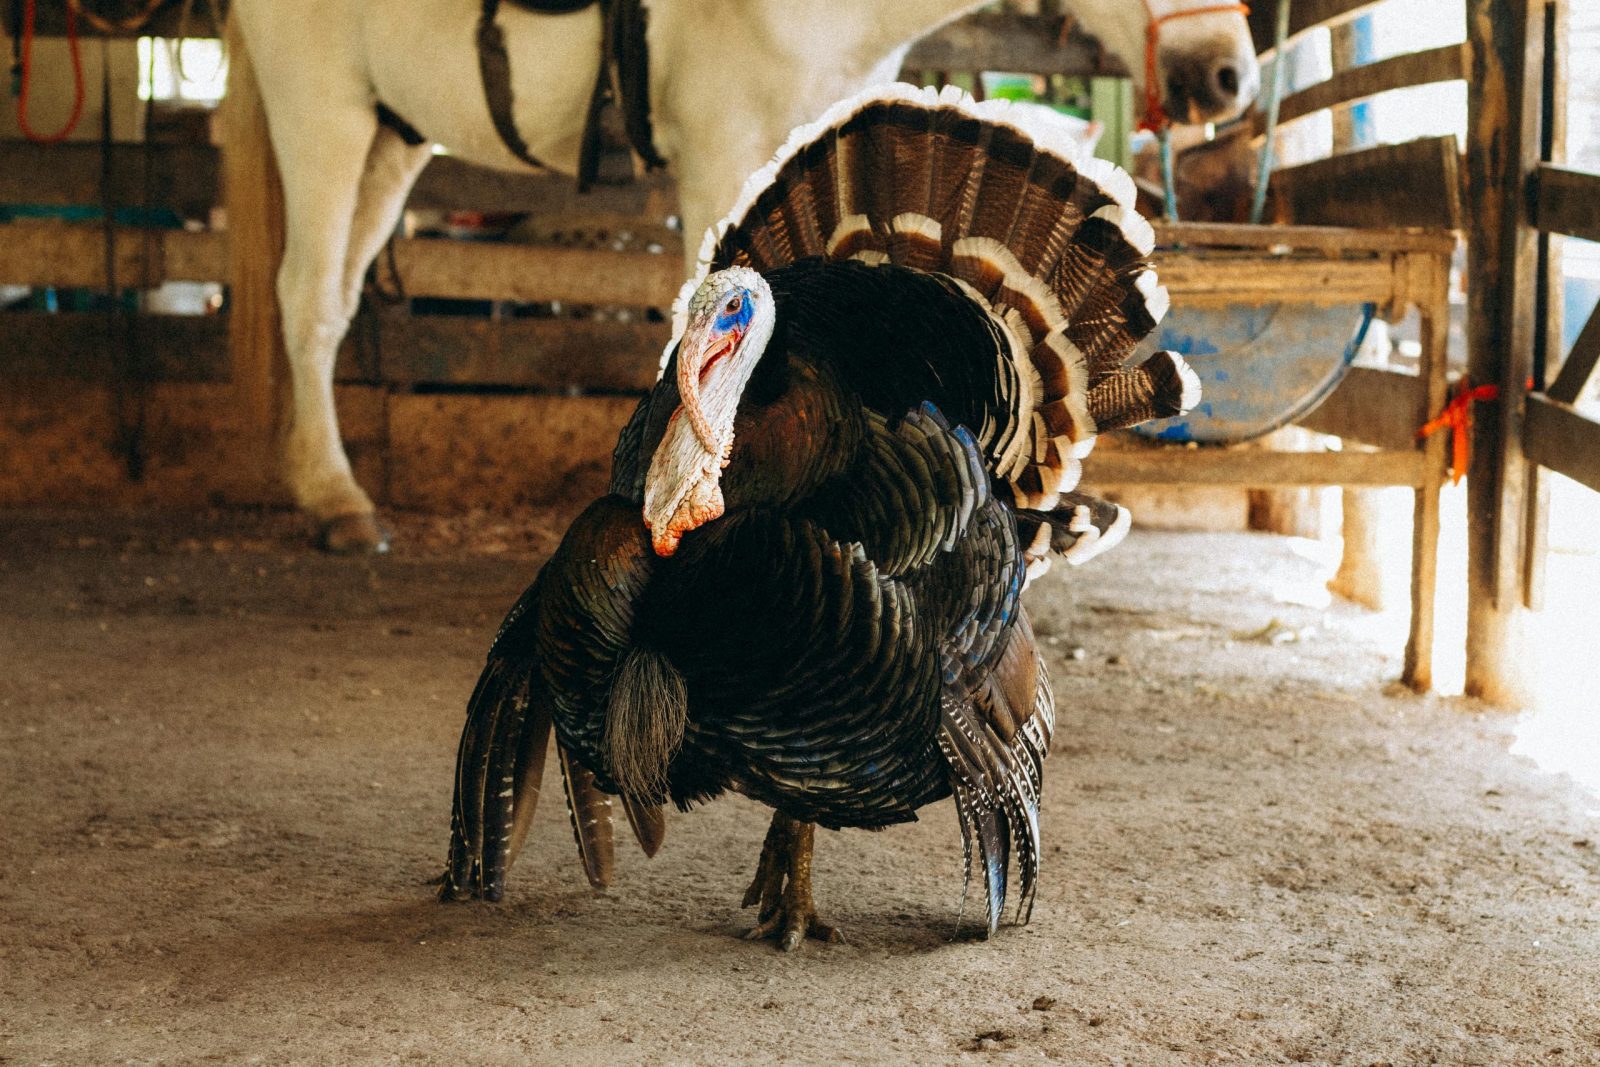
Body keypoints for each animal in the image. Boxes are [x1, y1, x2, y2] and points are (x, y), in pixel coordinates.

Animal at [228, 0, 1259, 552]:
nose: (1228, 79)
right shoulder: (719, 149)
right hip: (322, 108)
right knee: (305, 298)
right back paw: (335, 497)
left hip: (392, 133)